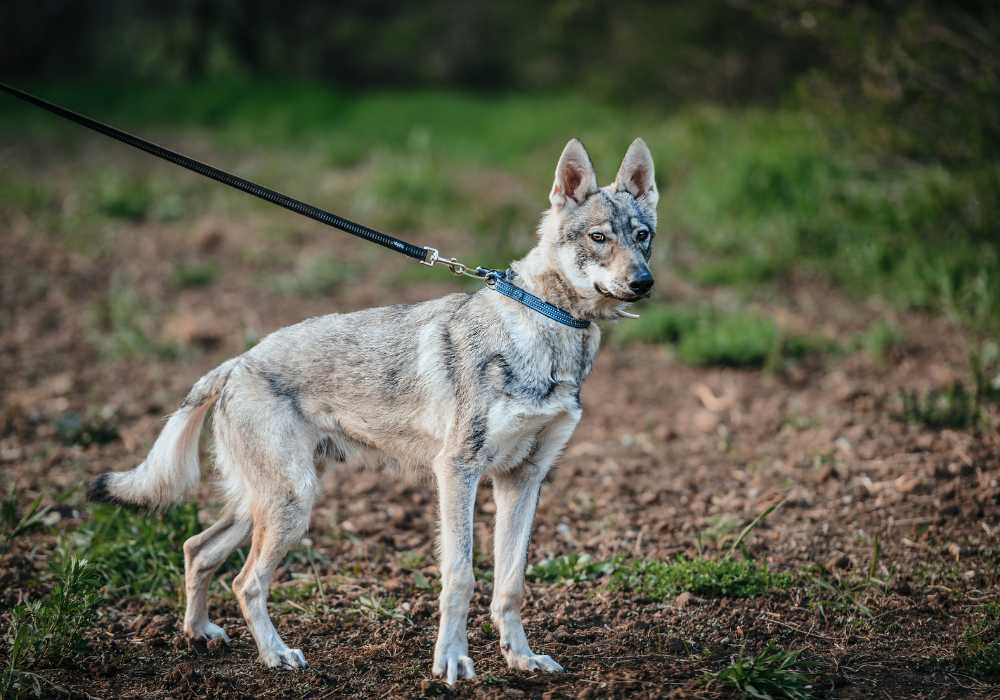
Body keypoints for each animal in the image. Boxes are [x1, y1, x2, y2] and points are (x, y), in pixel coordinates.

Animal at [90, 137, 660, 684]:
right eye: (598, 238)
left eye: (642, 236)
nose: (644, 282)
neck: (548, 328)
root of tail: (235, 362)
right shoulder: (458, 472)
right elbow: (460, 577)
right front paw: (451, 664)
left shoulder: (524, 479)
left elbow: (511, 584)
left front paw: (521, 659)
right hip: (291, 505)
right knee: (244, 581)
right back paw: (276, 656)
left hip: (267, 502)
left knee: (196, 549)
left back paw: (199, 634)